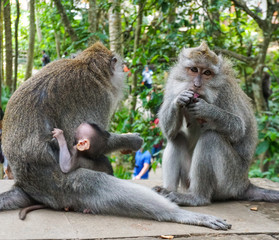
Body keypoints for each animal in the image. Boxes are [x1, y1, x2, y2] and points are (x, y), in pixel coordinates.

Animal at [0, 42, 232, 230]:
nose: (123, 71)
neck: (86, 66)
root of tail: (24, 185)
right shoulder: (97, 96)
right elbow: (83, 140)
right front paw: (132, 140)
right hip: (56, 186)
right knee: (94, 184)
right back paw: (181, 214)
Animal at [155, 42, 279, 205]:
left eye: (207, 73)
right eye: (194, 69)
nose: (196, 84)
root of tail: (245, 184)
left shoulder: (225, 91)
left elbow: (238, 129)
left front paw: (207, 109)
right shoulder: (173, 82)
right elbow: (169, 131)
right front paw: (178, 100)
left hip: (230, 180)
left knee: (211, 138)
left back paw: (197, 197)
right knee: (177, 138)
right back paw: (167, 191)